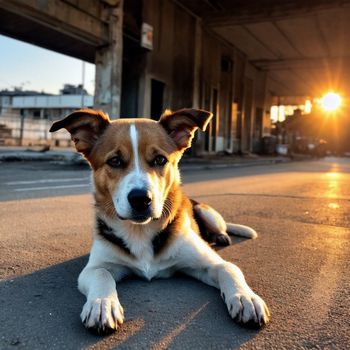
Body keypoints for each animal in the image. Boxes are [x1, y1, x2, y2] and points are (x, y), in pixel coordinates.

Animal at [49, 108, 270, 334]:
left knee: (220, 227)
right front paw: (102, 305)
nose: (140, 199)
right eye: (115, 161)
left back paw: (220, 236)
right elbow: (101, 274)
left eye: (160, 160)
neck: (140, 231)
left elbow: (228, 268)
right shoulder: (95, 267)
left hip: (206, 212)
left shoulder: (208, 263)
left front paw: (245, 298)